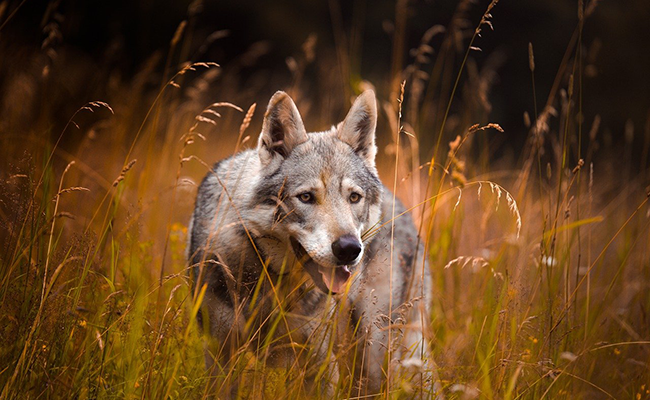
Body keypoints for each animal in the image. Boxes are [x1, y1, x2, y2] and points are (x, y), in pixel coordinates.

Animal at [187, 90, 440, 396]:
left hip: (375, 352)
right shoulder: (219, 355)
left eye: (354, 197)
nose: (349, 249)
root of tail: (403, 207)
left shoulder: (319, 365)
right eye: (306, 197)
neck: (273, 282)